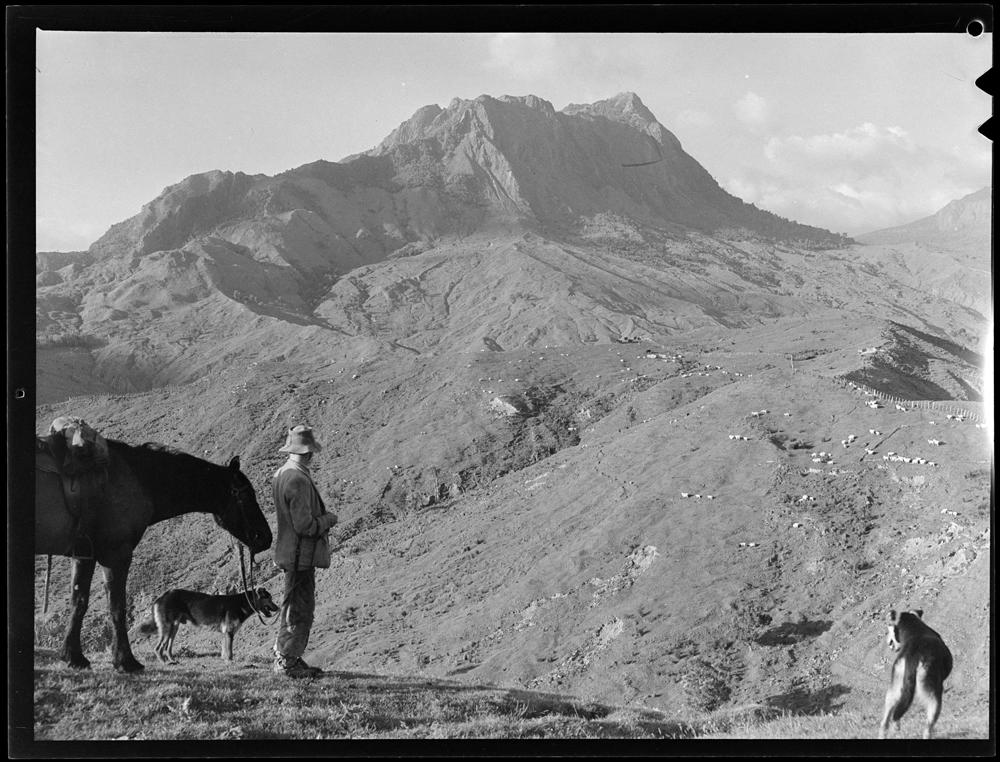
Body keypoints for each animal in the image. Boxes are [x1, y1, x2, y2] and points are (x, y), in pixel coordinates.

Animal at [139, 584, 280, 664]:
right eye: (269, 598)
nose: (278, 608)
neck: (245, 602)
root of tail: (161, 597)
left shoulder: (225, 633)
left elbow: (225, 650)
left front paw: (225, 661)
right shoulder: (229, 632)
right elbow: (229, 651)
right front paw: (230, 662)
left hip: (174, 628)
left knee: (168, 647)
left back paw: (172, 661)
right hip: (167, 628)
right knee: (158, 648)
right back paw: (164, 662)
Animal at [880, 604, 956, 736]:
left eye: (888, 626)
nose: (888, 642)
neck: (914, 628)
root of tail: (913, 656)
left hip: (894, 690)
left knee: (886, 721)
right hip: (933, 696)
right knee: (928, 728)